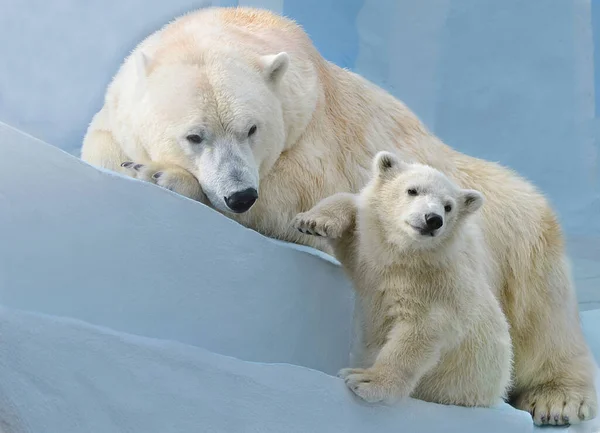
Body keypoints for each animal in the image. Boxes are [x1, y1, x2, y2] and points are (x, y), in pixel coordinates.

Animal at [82, 5, 596, 426]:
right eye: (195, 135)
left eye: (252, 128)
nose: (240, 195)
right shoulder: (120, 110)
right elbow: (102, 144)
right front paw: (135, 163)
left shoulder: (316, 135)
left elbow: (298, 196)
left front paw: (161, 174)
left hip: (514, 230)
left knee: (541, 309)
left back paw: (558, 399)